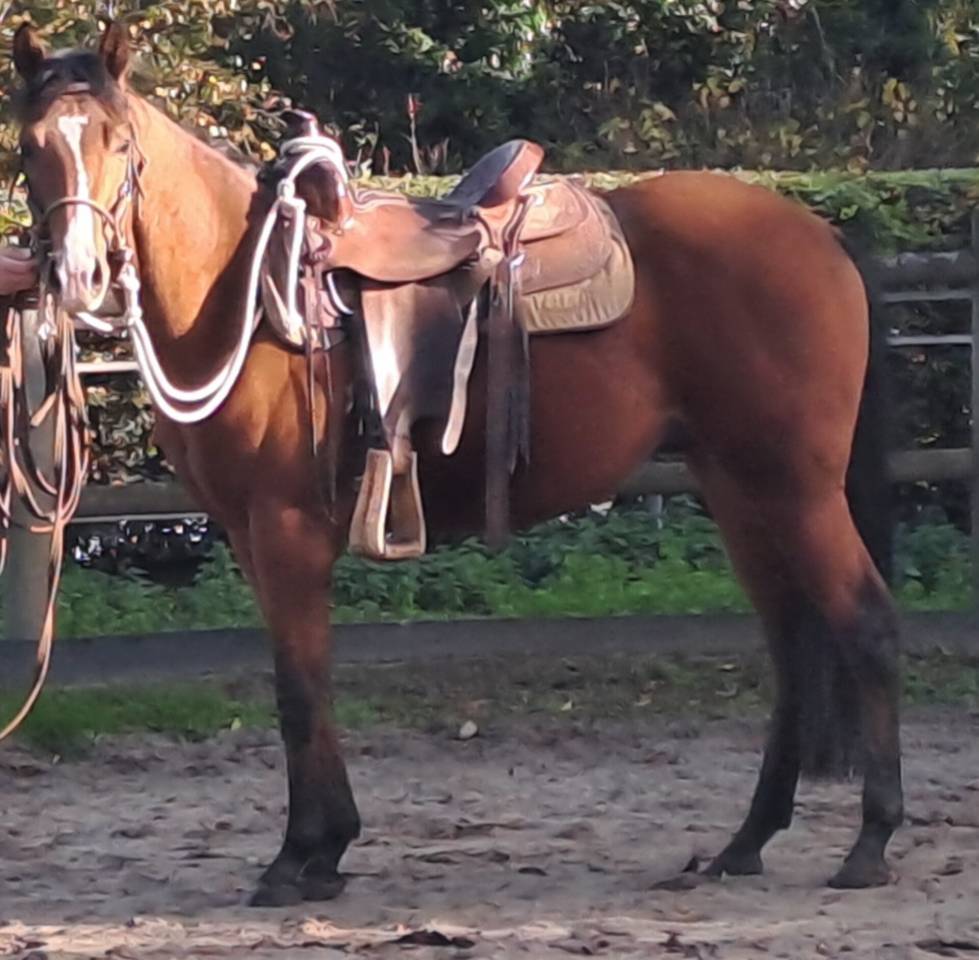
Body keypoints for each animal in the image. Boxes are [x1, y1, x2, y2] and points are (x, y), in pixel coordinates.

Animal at [11, 22, 902, 906]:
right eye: (29, 146)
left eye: (119, 142)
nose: (78, 273)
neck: (251, 293)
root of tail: (823, 236)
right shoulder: (248, 534)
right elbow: (304, 681)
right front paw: (325, 849)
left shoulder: (285, 528)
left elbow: (298, 689)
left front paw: (300, 855)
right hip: (738, 487)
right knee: (791, 642)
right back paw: (745, 842)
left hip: (796, 487)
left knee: (864, 623)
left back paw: (870, 842)